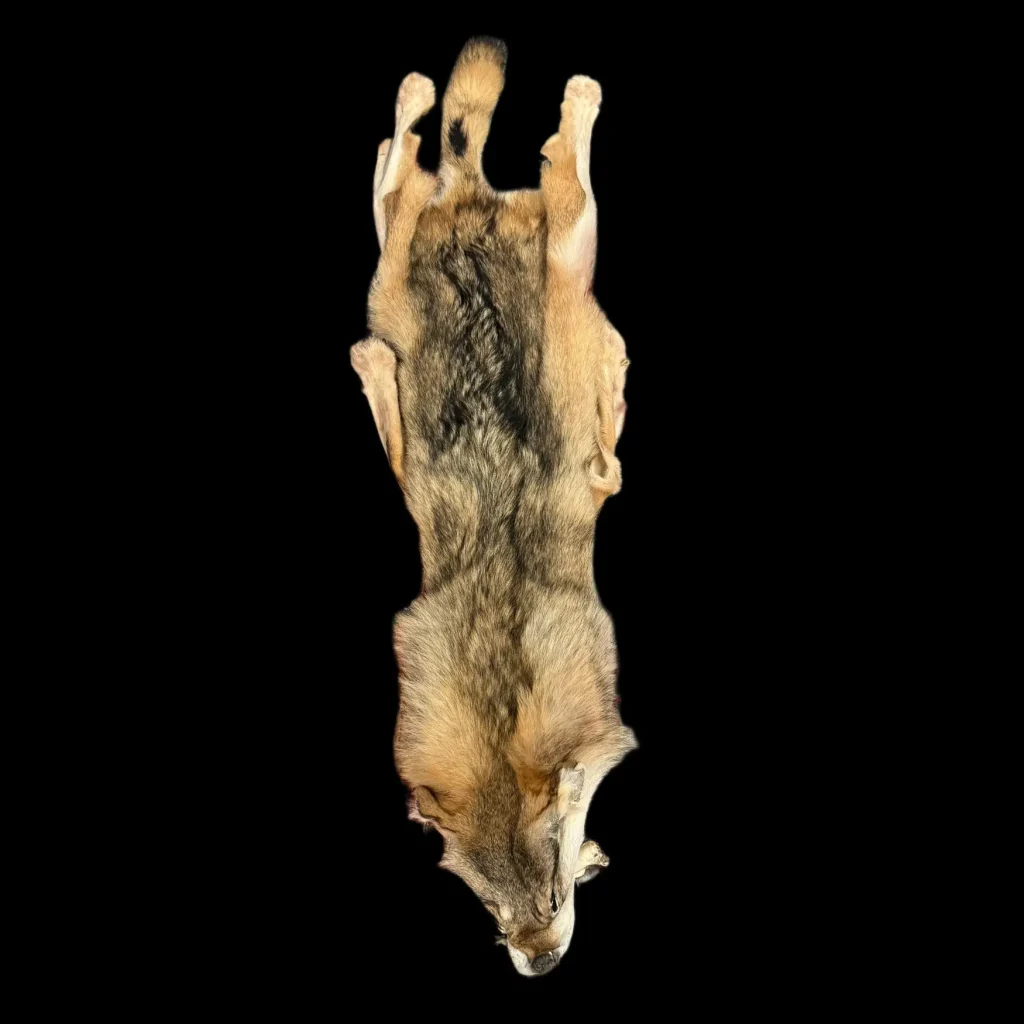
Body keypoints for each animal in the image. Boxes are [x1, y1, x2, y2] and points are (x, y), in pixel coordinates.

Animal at [351, 37, 635, 976]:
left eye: (547, 899)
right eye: (492, 913)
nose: (540, 963)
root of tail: (474, 203)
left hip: (556, 260)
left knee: (526, 174)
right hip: (416, 271)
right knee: (412, 167)